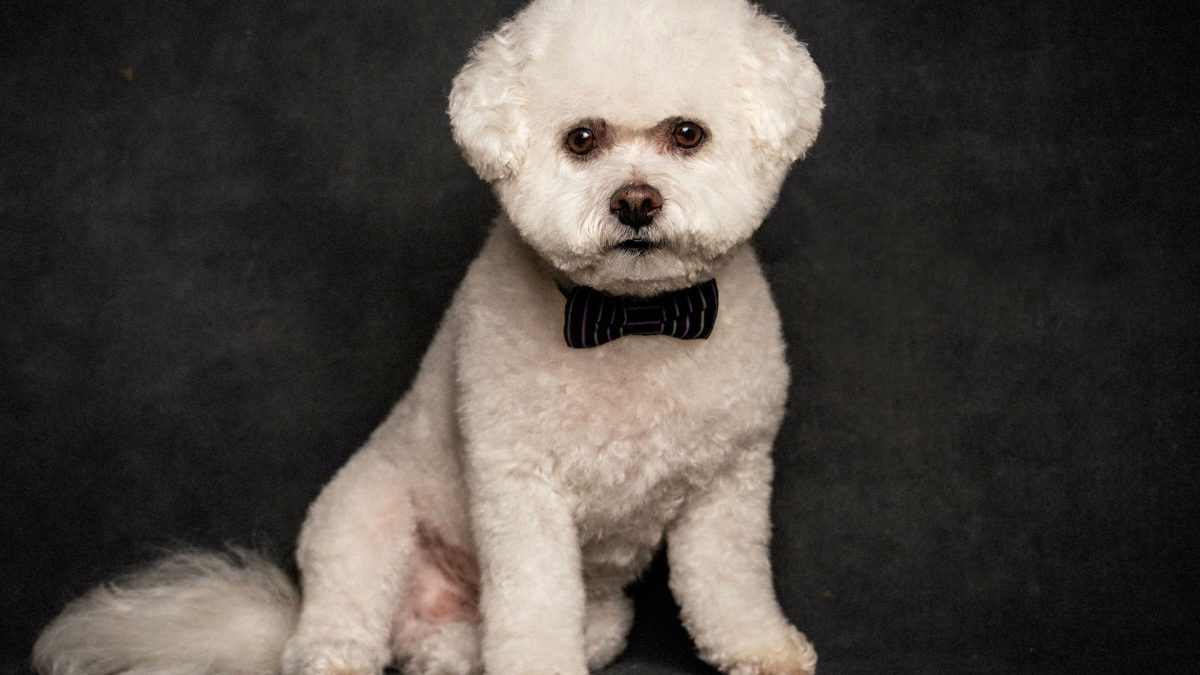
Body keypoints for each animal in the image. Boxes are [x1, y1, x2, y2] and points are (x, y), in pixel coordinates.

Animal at [35, 1, 825, 672]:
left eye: (688, 134)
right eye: (582, 139)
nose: (635, 202)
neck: (632, 321)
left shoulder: (730, 482)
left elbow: (730, 582)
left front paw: (763, 649)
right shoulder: (520, 492)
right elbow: (533, 608)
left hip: (598, 616)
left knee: (483, 640)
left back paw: (448, 653)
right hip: (362, 525)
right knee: (336, 632)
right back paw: (339, 650)